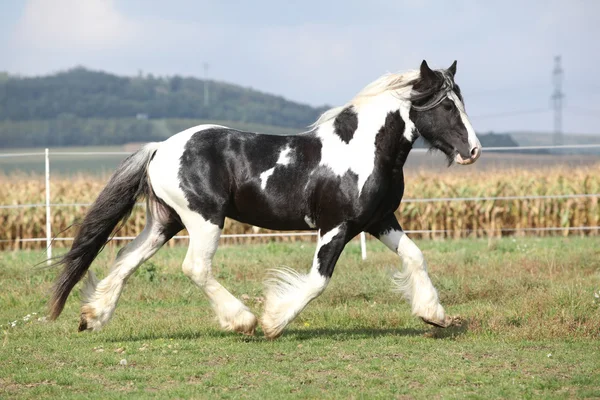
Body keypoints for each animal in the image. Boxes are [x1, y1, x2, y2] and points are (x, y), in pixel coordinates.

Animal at [50, 61, 482, 340]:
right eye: (446, 105)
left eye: (462, 101)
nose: (473, 151)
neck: (363, 151)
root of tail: (160, 148)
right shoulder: (336, 226)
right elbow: (317, 281)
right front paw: (274, 322)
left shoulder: (379, 220)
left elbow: (415, 256)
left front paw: (434, 315)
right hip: (204, 218)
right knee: (195, 267)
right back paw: (243, 321)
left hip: (165, 221)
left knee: (127, 258)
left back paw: (92, 317)